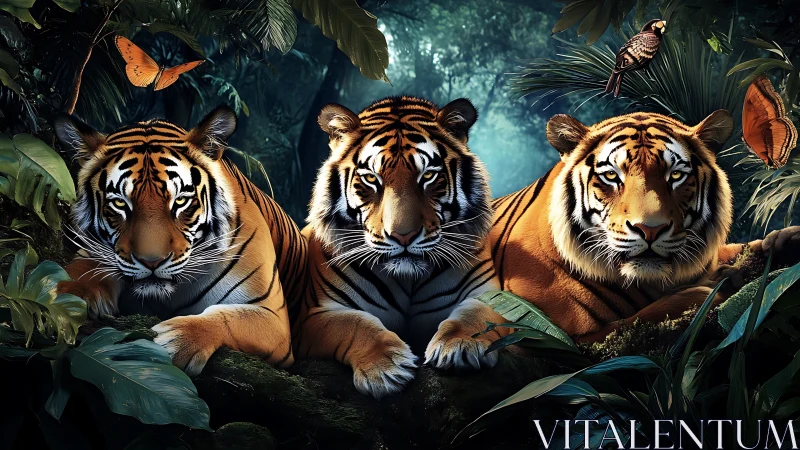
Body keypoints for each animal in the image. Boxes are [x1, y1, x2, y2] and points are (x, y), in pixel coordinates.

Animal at [54, 106, 307, 375]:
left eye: (180, 201)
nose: (151, 262)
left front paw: (174, 341)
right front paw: (66, 297)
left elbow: (228, 318)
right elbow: (83, 270)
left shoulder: (272, 319)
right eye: (120, 204)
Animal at [293, 96, 509, 399]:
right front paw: (385, 368)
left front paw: (461, 346)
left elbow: (475, 315)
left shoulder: (490, 295)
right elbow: (354, 324)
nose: (402, 235)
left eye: (428, 176)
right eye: (372, 179)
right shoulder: (316, 314)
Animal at [490, 110, 800, 343]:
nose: (650, 229)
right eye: (611, 176)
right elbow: (638, 319)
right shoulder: (550, 334)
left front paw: (784, 241)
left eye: (675, 175)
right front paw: (715, 286)